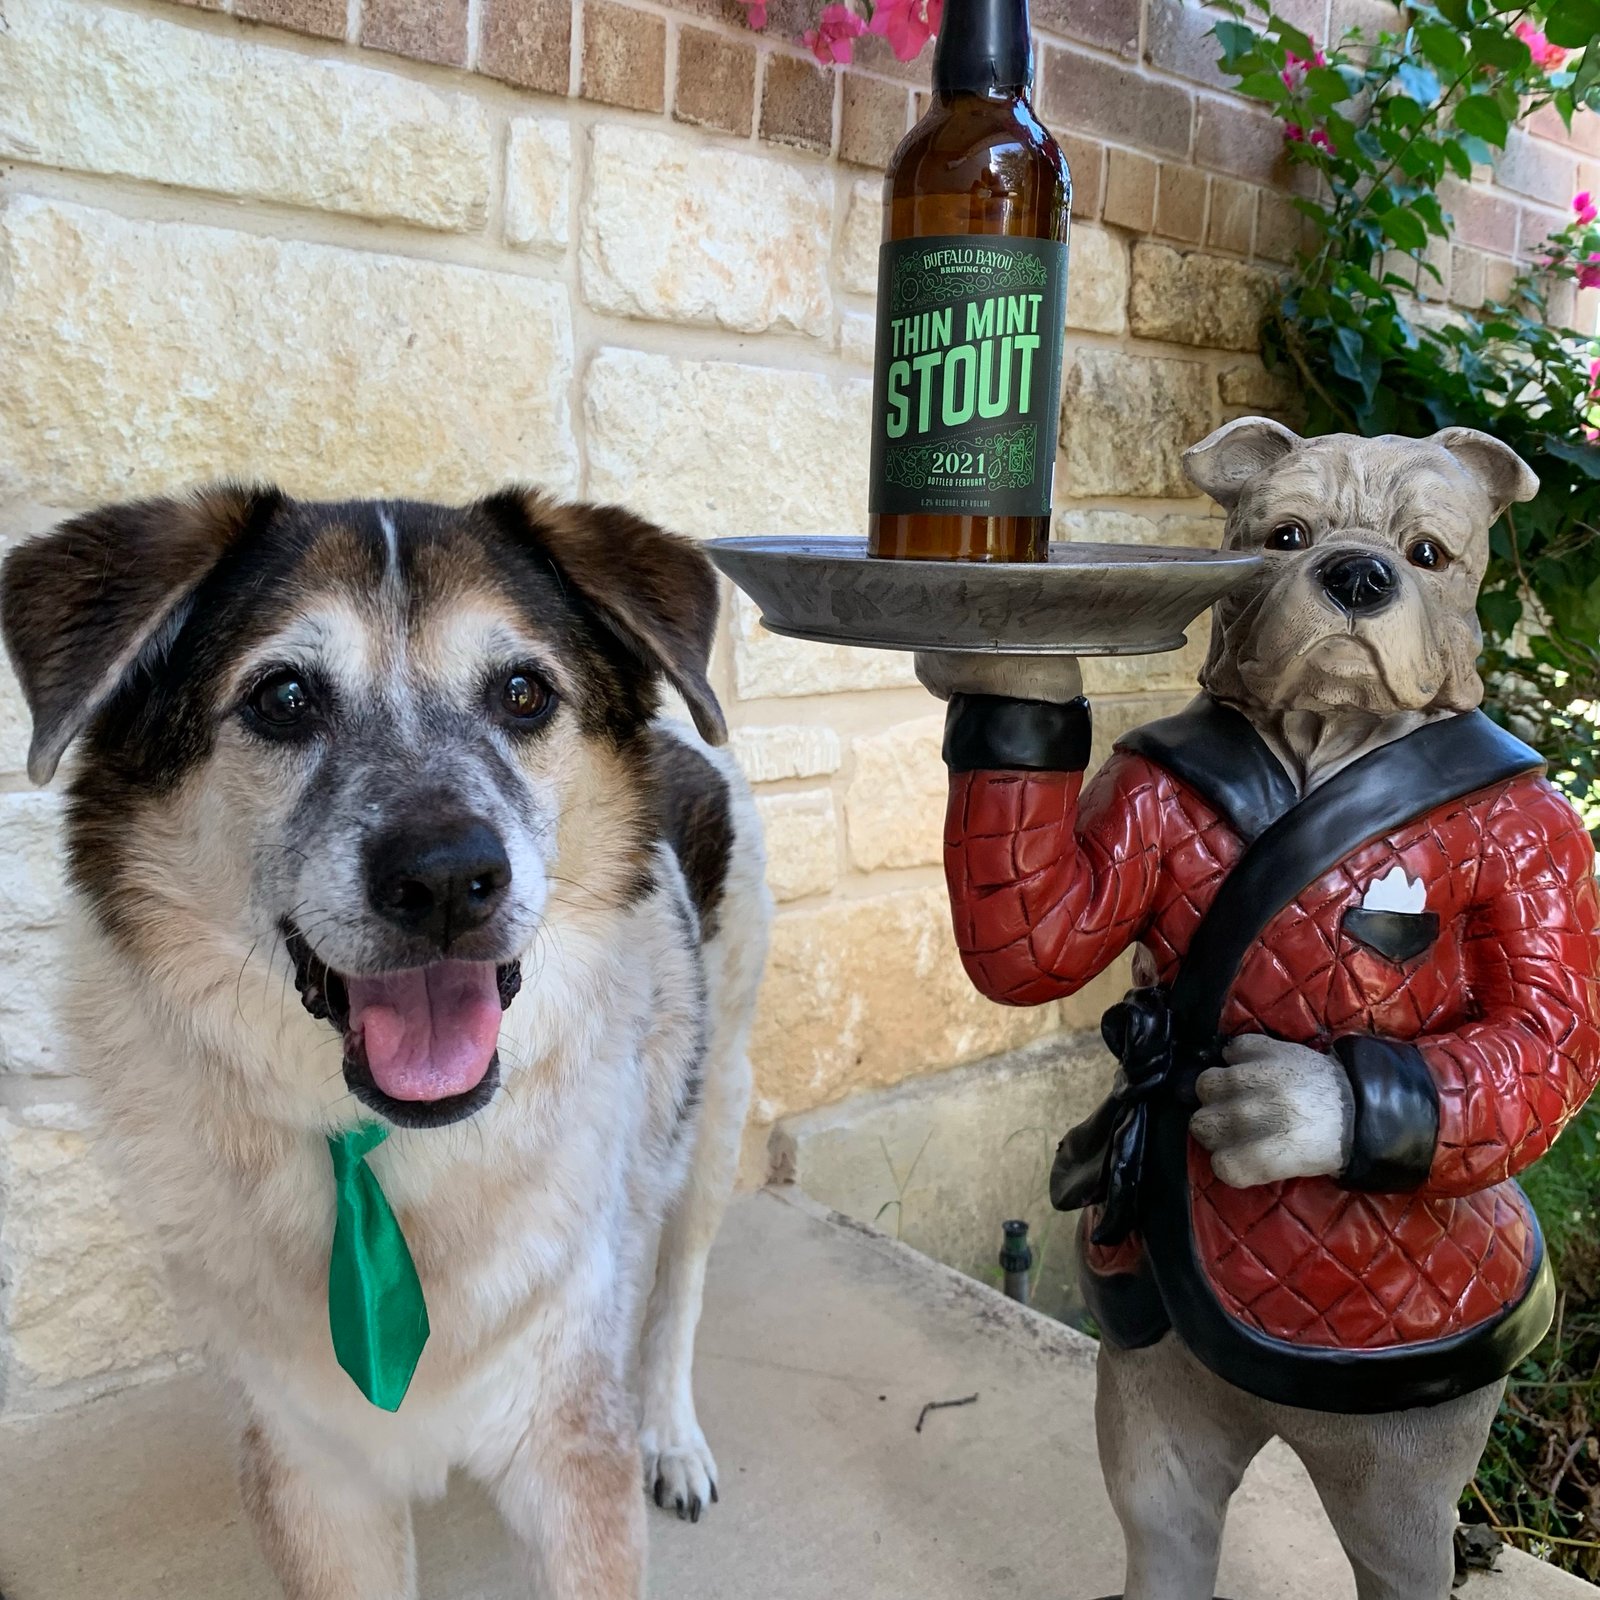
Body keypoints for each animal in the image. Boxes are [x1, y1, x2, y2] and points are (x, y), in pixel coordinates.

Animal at [0, 486, 771, 1600]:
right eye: (282, 696)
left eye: (524, 692)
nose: (447, 879)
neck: (385, 1145)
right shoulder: (313, 1475)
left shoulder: (567, 1449)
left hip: (714, 1103)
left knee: (679, 1284)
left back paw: (671, 1437)